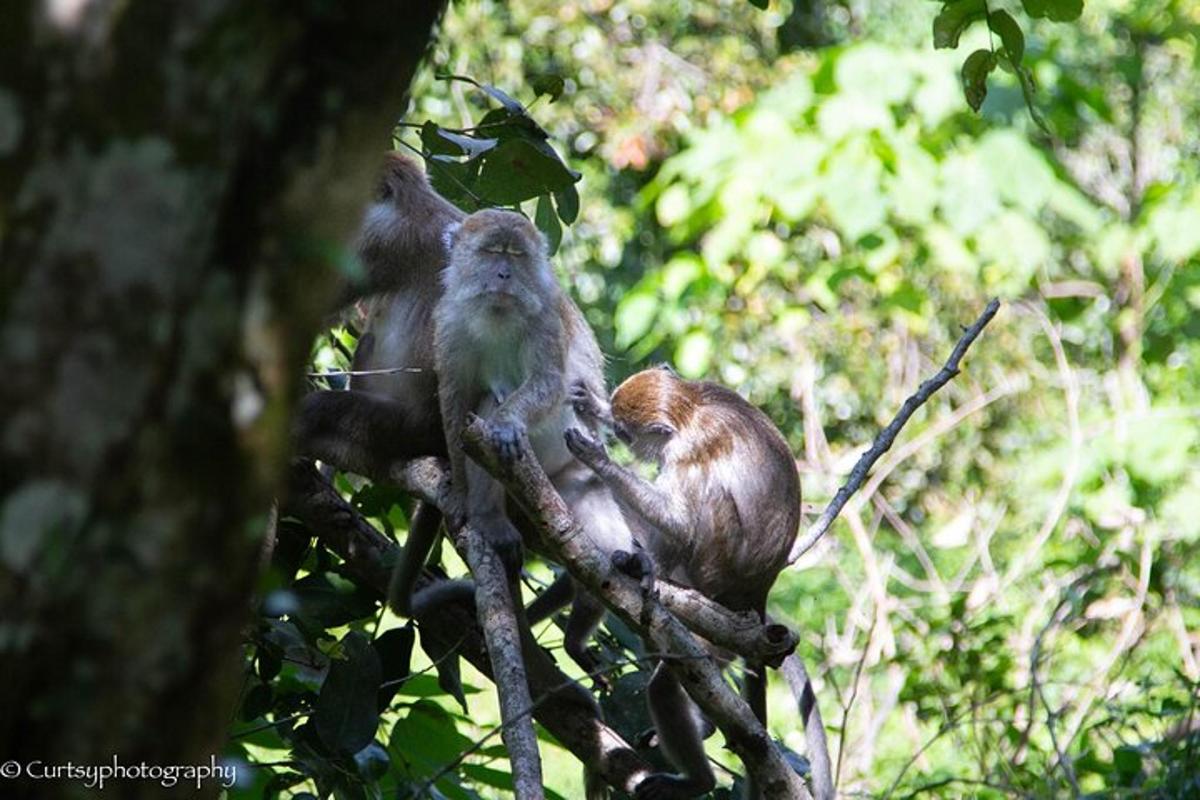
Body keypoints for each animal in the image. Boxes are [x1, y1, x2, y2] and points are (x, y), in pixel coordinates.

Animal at [564, 367, 806, 800]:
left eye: (626, 436)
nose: (620, 440)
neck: (693, 407)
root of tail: (757, 591)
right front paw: (593, 404)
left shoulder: (690, 450)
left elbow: (680, 522)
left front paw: (598, 458)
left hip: (715, 570)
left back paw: (698, 782)